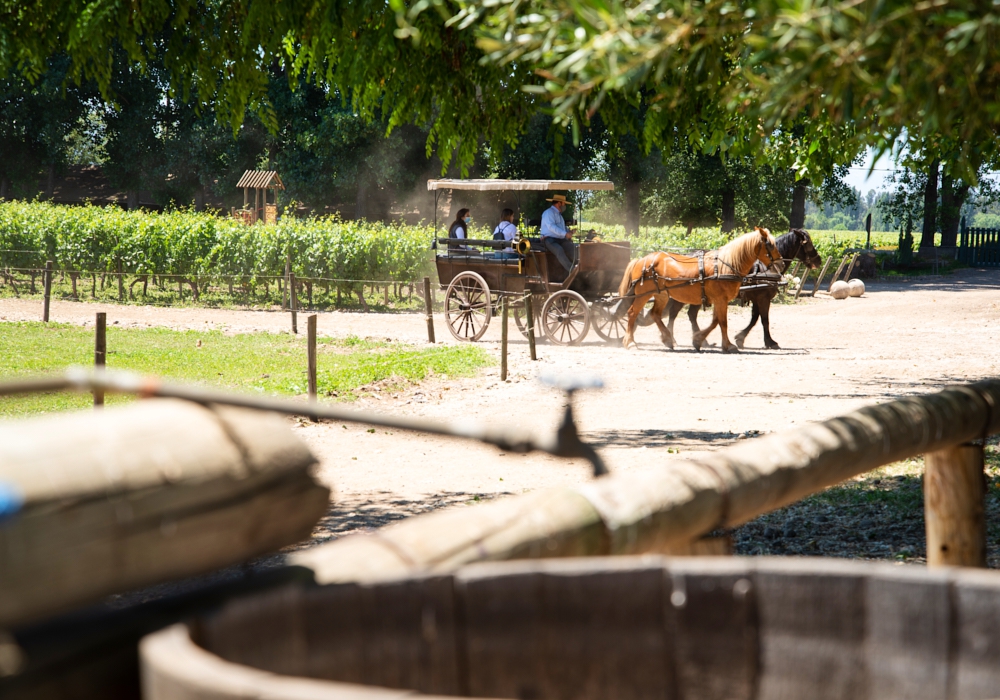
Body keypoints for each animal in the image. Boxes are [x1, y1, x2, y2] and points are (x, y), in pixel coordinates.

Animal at [616, 227, 780, 352]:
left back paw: (668, 339)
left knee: (655, 314)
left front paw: (699, 340)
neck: (725, 266)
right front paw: (728, 345)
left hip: (662, 295)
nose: (780, 262)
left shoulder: (719, 300)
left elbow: (716, 321)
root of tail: (642, 260)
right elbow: (723, 322)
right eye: (771, 245)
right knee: (632, 313)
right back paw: (630, 342)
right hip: (643, 295)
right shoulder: (722, 300)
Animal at [664, 230, 820, 350]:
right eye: (808, 243)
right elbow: (764, 320)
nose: (818, 260)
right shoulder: (763, 298)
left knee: (684, 314)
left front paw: (740, 338)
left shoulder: (757, 298)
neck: (765, 267)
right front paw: (770, 342)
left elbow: (754, 319)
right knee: (678, 314)